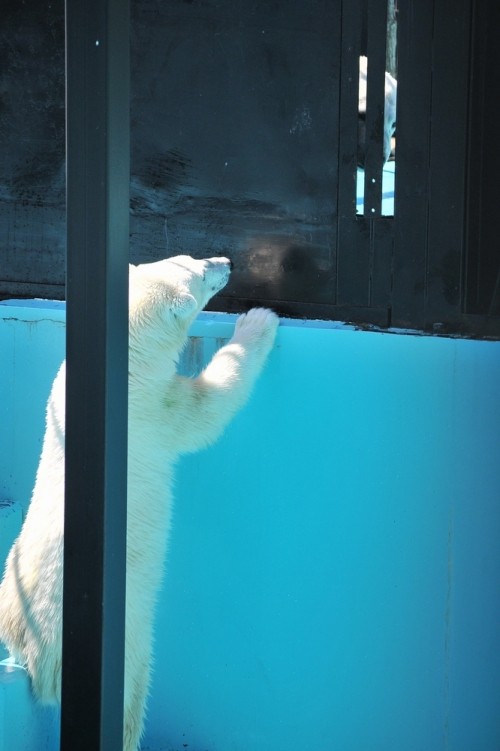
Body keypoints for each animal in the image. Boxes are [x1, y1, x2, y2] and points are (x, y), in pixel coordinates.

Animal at [0, 254, 280, 751]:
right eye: (201, 274)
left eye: (189, 258)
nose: (226, 261)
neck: (119, 367)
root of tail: (33, 657)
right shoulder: (151, 410)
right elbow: (206, 409)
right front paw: (258, 321)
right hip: (127, 640)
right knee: (133, 694)